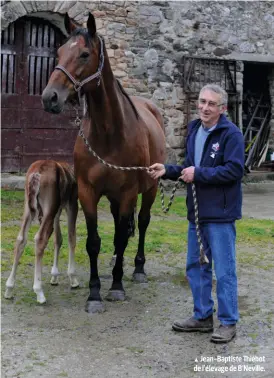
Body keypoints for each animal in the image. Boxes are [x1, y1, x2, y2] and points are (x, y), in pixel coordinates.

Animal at [4, 160, 78, 304]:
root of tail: (36, 173)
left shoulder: (58, 209)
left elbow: (58, 238)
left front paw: (54, 276)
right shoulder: (72, 203)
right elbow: (71, 237)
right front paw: (73, 278)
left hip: (29, 207)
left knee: (21, 238)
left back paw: (9, 288)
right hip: (49, 207)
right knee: (40, 238)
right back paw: (39, 290)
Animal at [40, 12, 165, 314]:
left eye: (85, 54)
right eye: (59, 51)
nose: (50, 97)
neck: (109, 133)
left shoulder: (129, 193)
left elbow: (121, 234)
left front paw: (116, 287)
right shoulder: (88, 192)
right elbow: (94, 242)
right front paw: (94, 293)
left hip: (150, 190)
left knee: (142, 222)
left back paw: (137, 269)